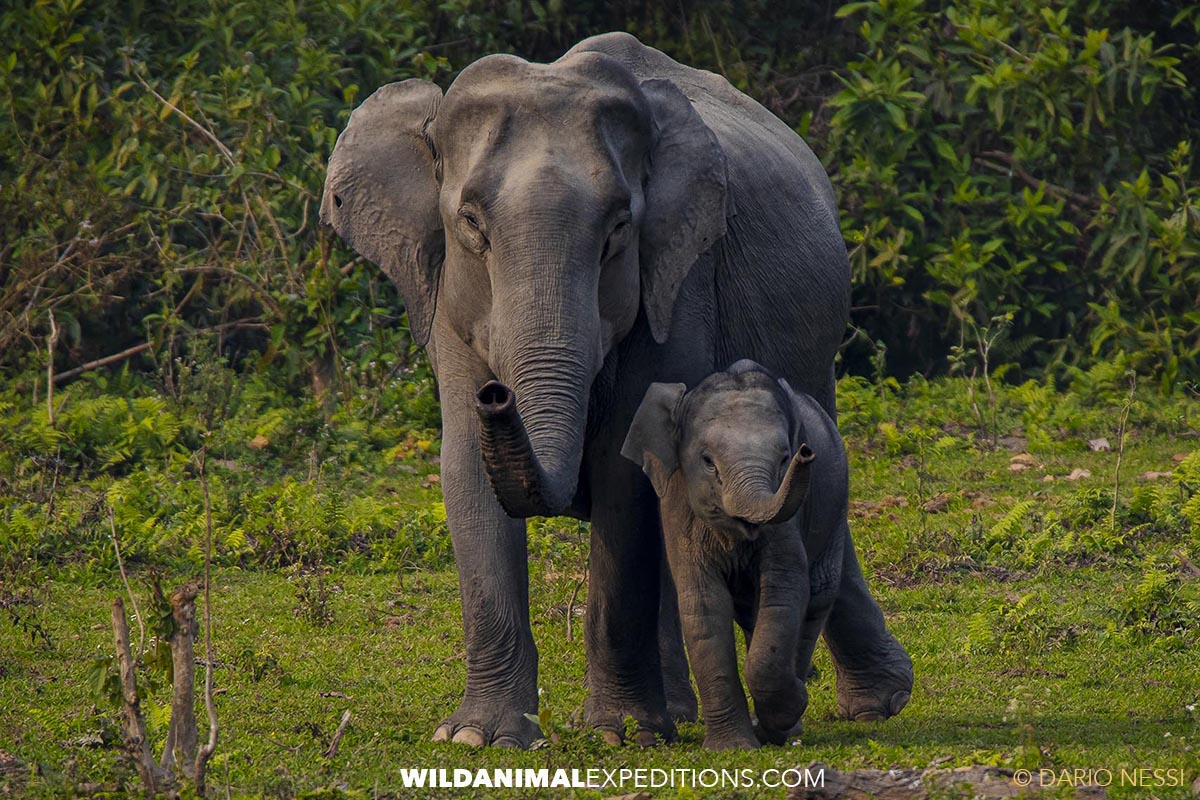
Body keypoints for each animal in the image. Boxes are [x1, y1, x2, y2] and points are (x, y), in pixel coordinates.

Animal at [621, 360, 847, 750]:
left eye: (785, 458)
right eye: (708, 461)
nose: (806, 453)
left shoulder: (788, 520)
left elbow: (784, 591)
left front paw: (790, 707)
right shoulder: (678, 507)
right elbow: (704, 606)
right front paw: (732, 748)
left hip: (833, 512)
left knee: (814, 601)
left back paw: (786, 725)